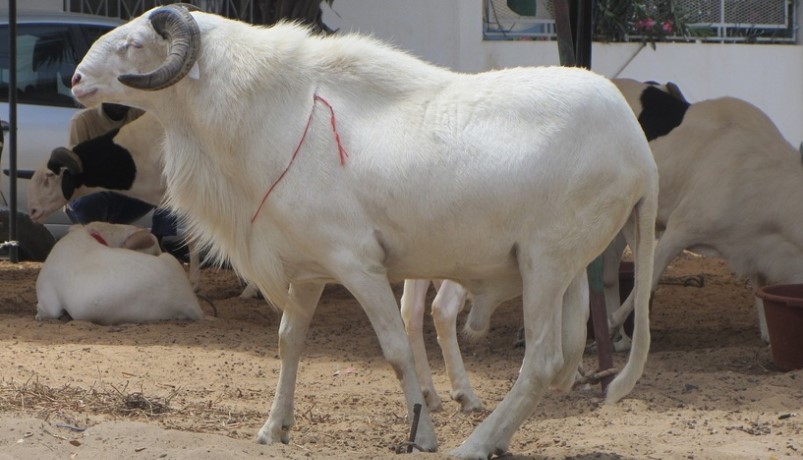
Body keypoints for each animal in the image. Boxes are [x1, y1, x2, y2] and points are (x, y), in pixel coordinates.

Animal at [70, 6, 658, 457]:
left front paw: (424, 436)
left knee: (540, 363)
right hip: (567, 272)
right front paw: (274, 428)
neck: (276, 112)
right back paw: (495, 436)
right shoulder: (308, 271)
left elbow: (396, 350)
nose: (75, 80)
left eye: (135, 44)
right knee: (560, 358)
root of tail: (639, 147)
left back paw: (474, 443)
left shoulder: (358, 265)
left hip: (546, 263)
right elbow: (288, 341)